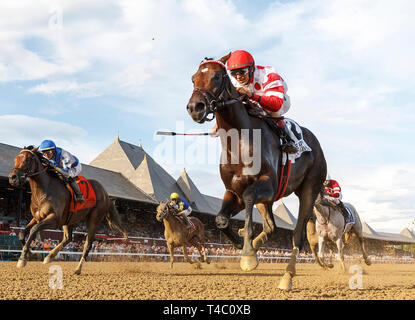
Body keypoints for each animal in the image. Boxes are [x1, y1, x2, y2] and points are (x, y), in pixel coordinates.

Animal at [8, 146, 127, 274]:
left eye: (27, 160)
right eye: (15, 159)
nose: (12, 178)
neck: (44, 191)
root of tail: (106, 194)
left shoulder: (54, 220)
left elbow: (34, 230)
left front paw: (23, 258)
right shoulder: (37, 217)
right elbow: (22, 233)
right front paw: (30, 252)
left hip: (94, 220)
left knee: (87, 245)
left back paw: (77, 269)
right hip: (69, 219)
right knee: (68, 238)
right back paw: (49, 256)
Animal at [188, 54, 328, 290]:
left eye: (217, 76)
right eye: (193, 78)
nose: (195, 107)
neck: (238, 142)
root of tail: (317, 144)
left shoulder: (267, 186)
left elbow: (249, 196)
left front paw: (247, 253)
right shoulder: (233, 191)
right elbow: (221, 220)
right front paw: (242, 244)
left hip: (308, 190)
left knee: (297, 235)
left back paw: (287, 276)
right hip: (268, 201)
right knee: (271, 226)